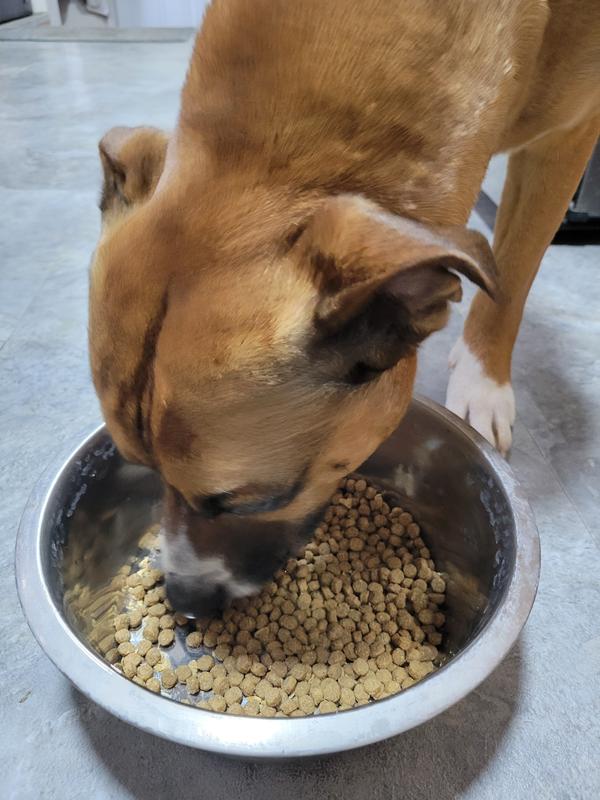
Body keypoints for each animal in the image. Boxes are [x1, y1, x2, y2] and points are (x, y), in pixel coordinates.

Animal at [89, 0, 599, 616]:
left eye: (250, 504)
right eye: (140, 468)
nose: (186, 602)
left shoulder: (569, 136)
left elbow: (515, 273)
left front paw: (483, 382)